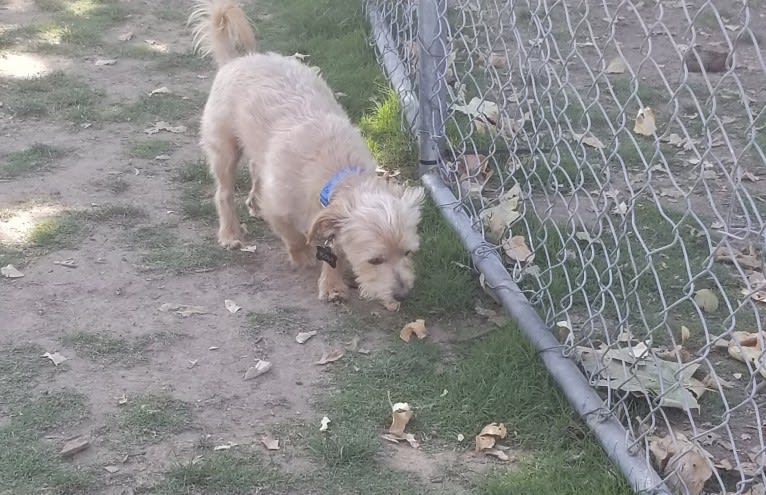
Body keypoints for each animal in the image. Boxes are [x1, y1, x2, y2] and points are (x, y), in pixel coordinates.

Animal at [188, 0, 426, 310]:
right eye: (375, 259)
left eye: (408, 252)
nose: (403, 295)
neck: (337, 171)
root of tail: (235, 60)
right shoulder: (280, 208)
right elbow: (295, 237)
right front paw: (303, 257)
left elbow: (332, 250)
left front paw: (332, 284)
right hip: (225, 150)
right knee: (224, 193)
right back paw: (230, 233)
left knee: (254, 171)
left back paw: (252, 203)